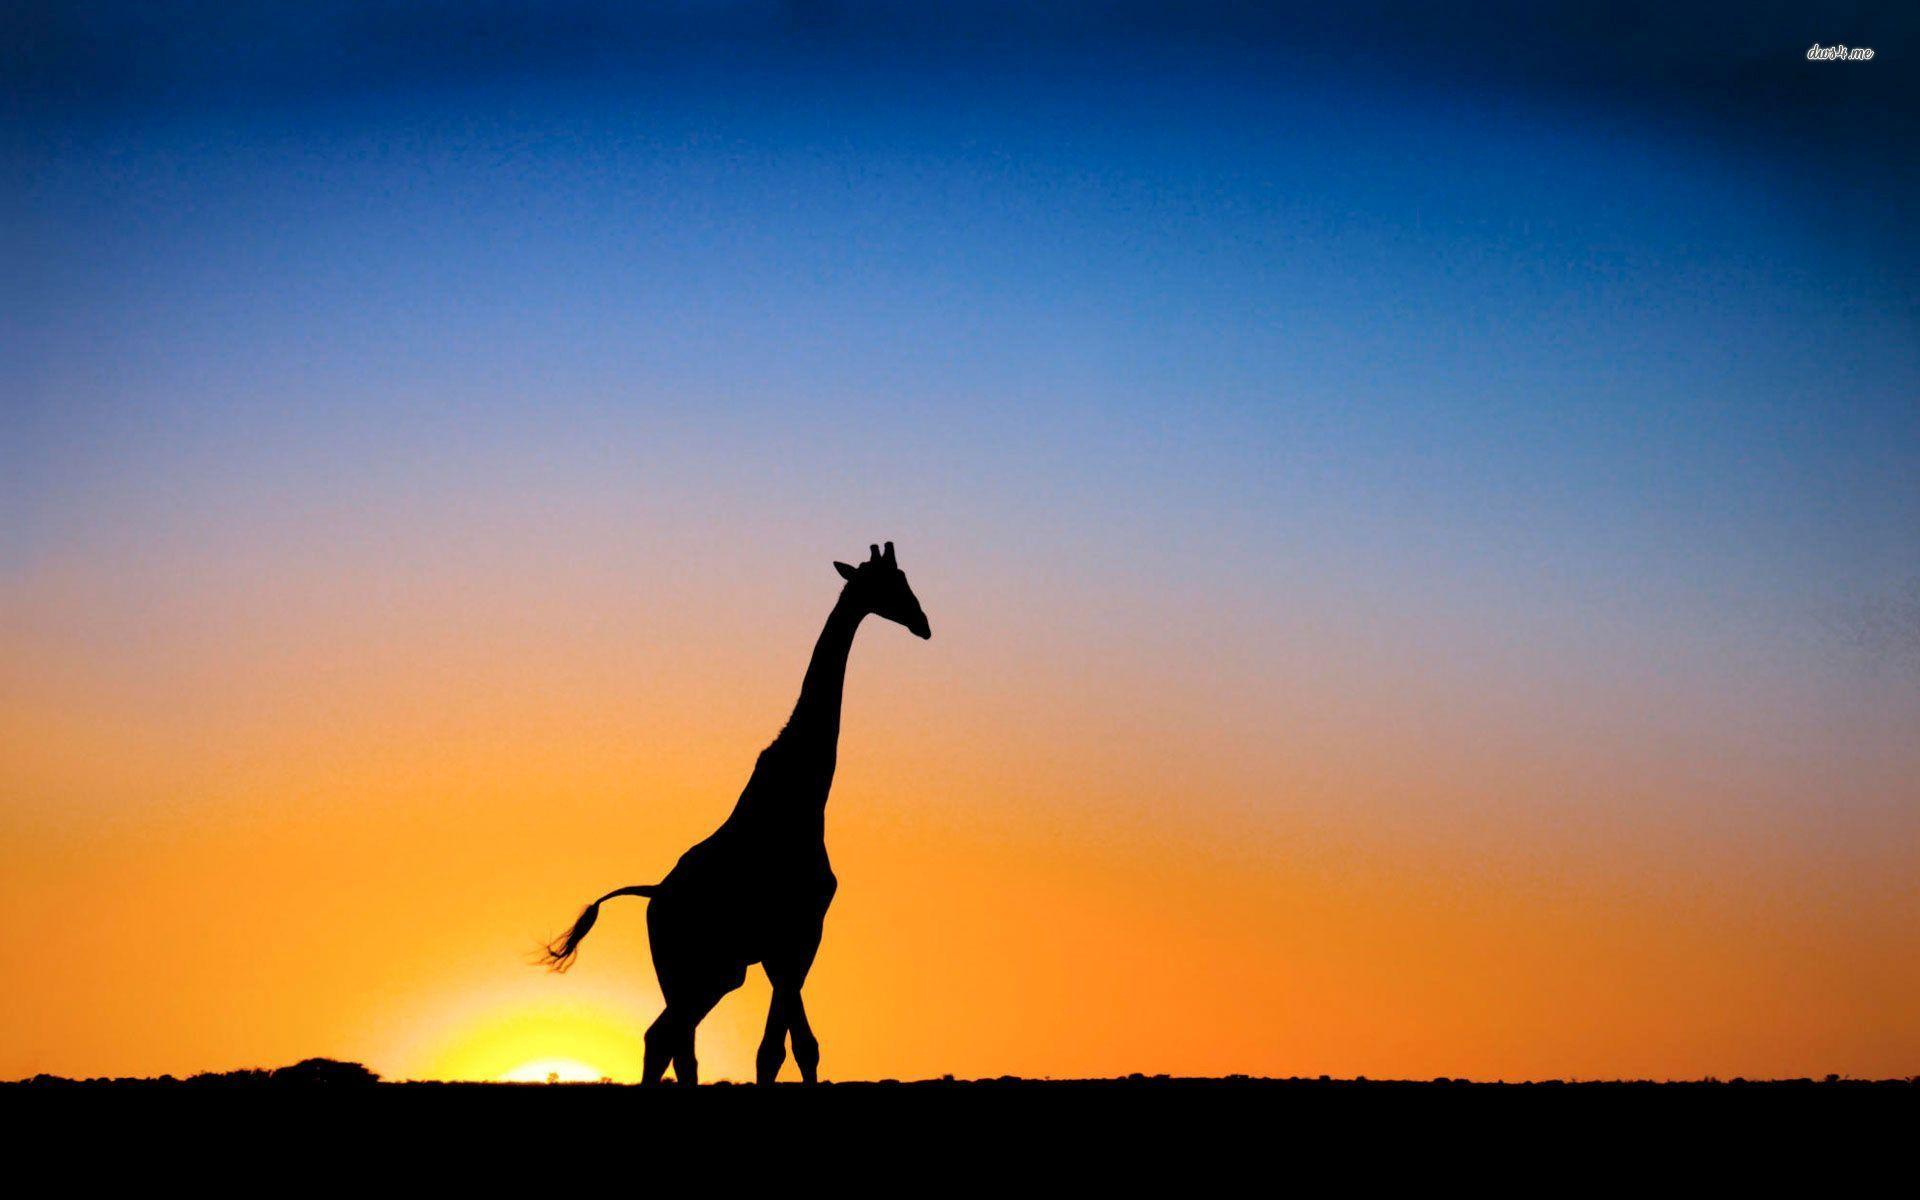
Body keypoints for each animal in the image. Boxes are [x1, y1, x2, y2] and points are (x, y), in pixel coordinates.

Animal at [539, 541, 931, 1085]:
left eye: (905, 579)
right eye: (889, 583)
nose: (923, 623)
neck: (802, 796)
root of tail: (654, 896)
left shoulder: (785, 944)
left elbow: (798, 1046)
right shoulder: (796, 934)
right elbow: (780, 1049)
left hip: (715, 973)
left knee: (667, 1039)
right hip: (694, 968)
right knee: (670, 1038)